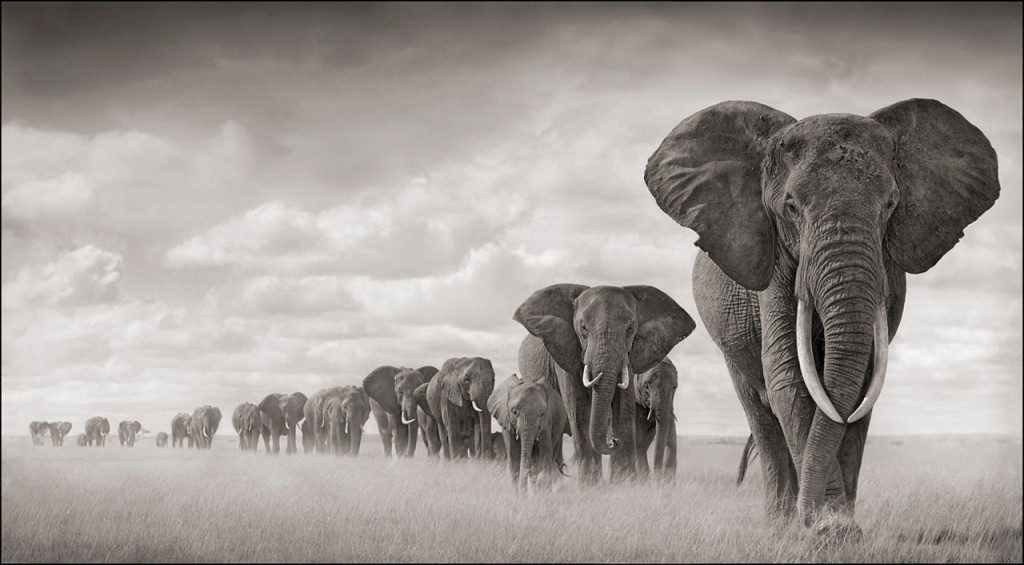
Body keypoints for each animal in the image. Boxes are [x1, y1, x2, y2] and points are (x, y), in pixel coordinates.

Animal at [515, 285, 695, 484]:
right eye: (583, 327)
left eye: (630, 329)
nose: (613, 441)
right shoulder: (565, 352)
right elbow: (579, 411)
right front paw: (591, 485)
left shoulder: (629, 356)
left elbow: (623, 408)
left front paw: (624, 483)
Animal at [644, 99, 1000, 530]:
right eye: (791, 207)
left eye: (890, 205)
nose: (814, 519)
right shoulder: (775, 264)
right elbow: (789, 377)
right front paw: (826, 530)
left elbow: (863, 383)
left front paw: (838, 527)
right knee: (761, 416)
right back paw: (779, 525)